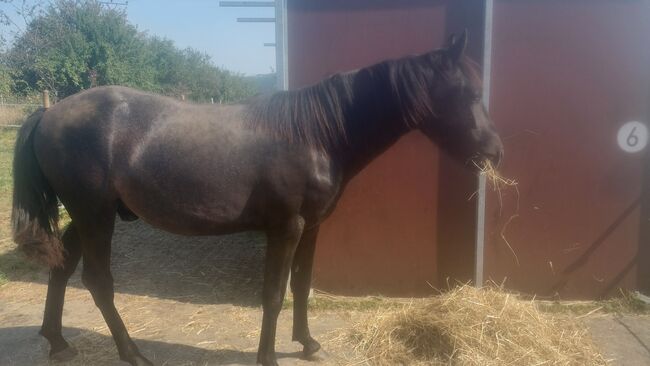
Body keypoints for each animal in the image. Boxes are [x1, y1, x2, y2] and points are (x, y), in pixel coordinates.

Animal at [12, 31, 504, 366]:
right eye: (466, 93)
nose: (495, 150)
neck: (314, 134)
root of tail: (49, 113)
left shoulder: (312, 227)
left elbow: (301, 285)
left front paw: (308, 343)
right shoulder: (285, 228)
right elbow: (273, 292)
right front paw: (268, 355)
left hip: (87, 215)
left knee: (62, 267)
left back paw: (57, 342)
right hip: (95, 215)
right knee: (98, 281)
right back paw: (132, 353)